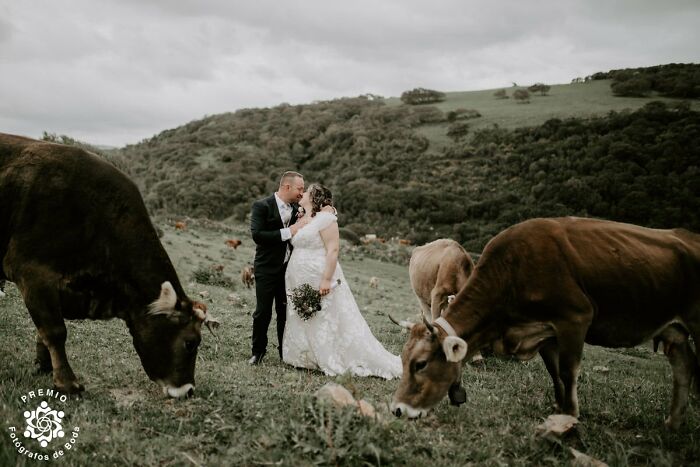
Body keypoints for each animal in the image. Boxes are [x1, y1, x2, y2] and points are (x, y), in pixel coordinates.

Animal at [0, 133, 219, 397]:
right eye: (190, 342)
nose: (188, 390)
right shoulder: (32, 271)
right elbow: (55, 331)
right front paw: (67, 383)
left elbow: (44, 333)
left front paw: (43, 366)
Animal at [390, 217, 700, 429]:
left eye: (420, 364)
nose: (397, 409)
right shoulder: (544, 331)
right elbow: (554, 373)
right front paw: (558, 411)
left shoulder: (574, 319)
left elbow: (566, 372)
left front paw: (569, 418)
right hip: (675, 330)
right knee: (684, 367)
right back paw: (672, 424)